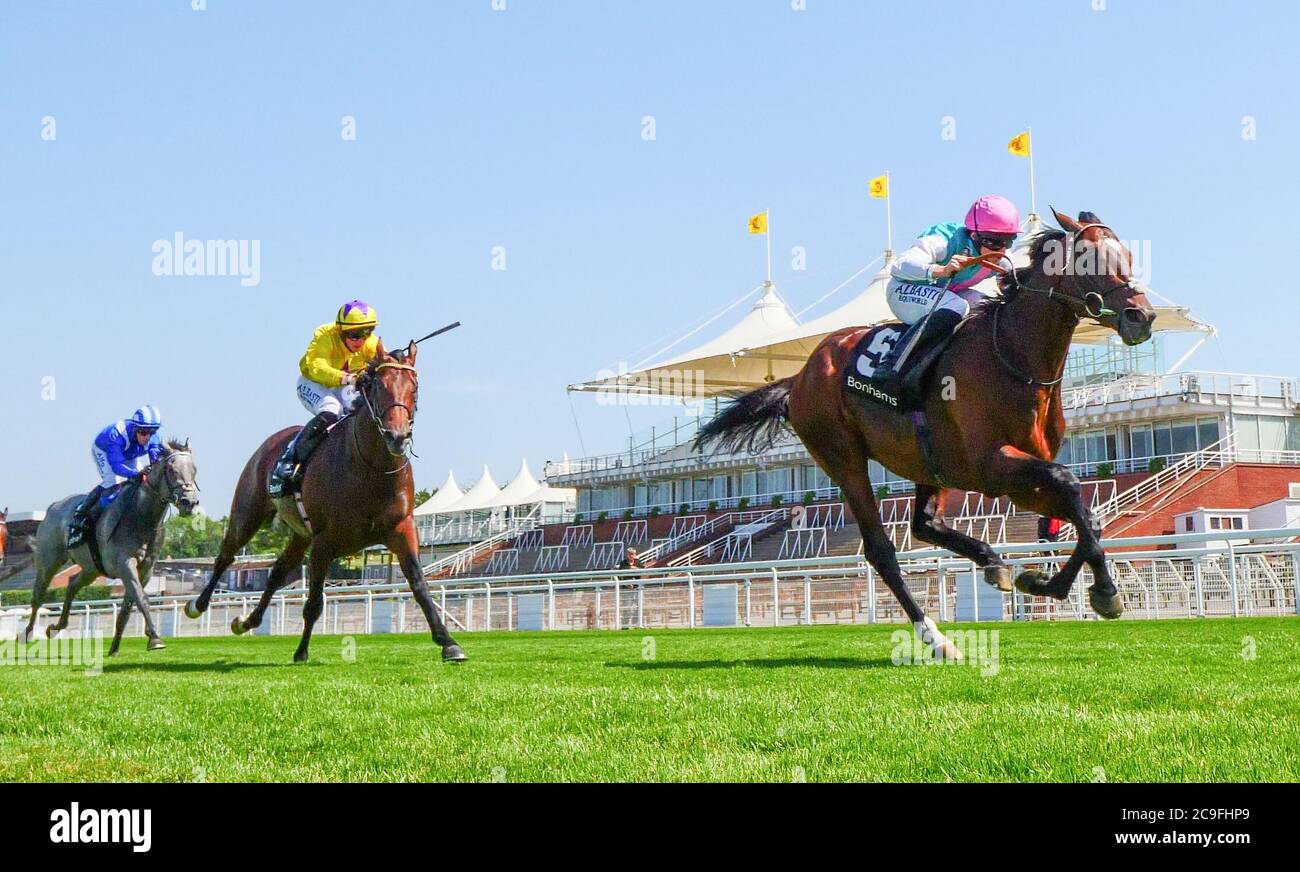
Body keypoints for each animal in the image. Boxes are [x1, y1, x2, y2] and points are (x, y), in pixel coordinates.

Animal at [183, 340, 467, 662]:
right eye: (379, 386)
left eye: (414, 386)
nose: (397, 436)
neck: (371, 467)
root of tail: (270, 443)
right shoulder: (324, 540)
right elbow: (314, 603)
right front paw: (301, 651)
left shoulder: (401, 528)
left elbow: (419, 585)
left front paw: (448, 643)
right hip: (249, 512)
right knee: (226, 555)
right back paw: (197, 605)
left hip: (300, 534)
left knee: (277, 570)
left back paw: (246, 621)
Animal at [696, 209, 1154, 662]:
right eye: (1090, 260)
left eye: (1129, 255)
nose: (1143, 318)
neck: (1012, 359)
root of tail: (800, 376)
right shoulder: (993, 466)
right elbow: (1070, 484)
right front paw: (1101, 590)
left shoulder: (1018, 478)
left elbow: (1083, 515)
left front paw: (1051, 583)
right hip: (844, 461)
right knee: (881, 551)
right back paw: (936, 637)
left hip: (928, 465)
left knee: (924, 524)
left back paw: (993, 563)